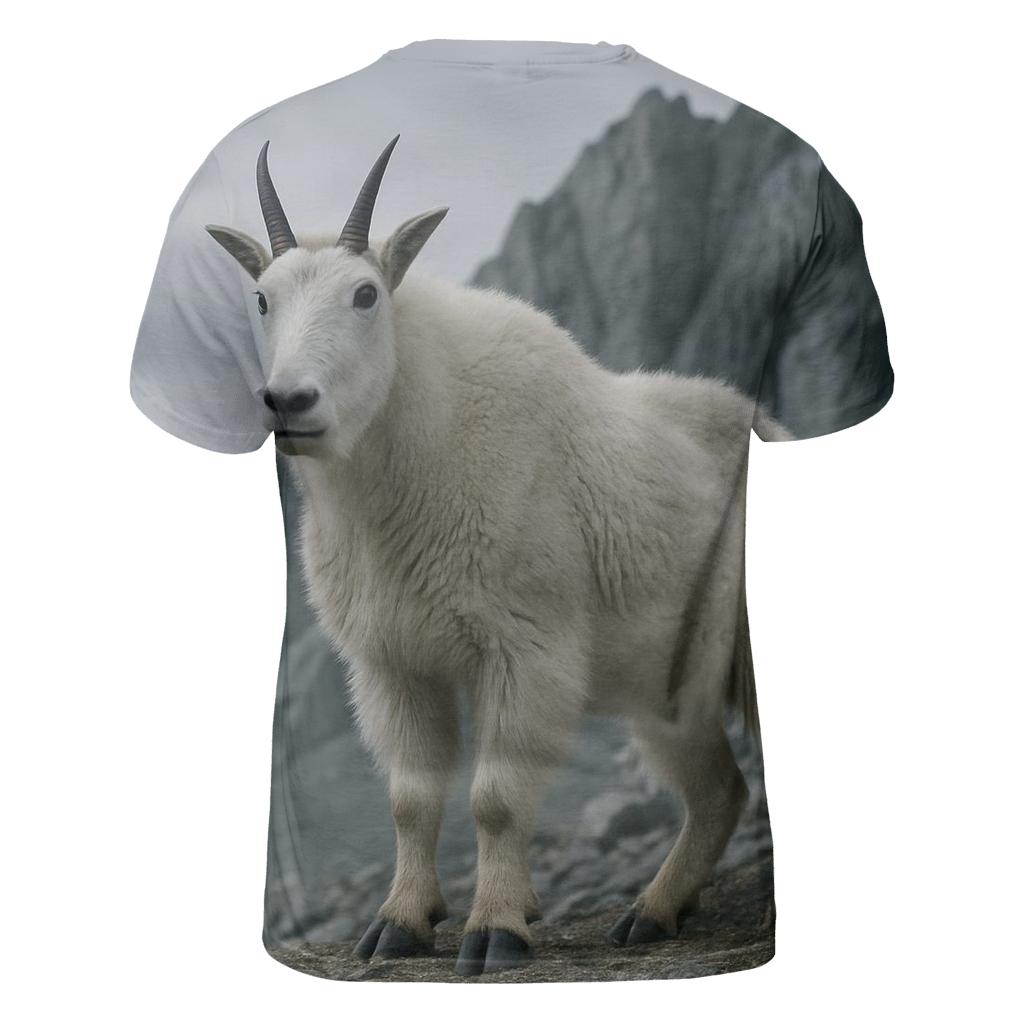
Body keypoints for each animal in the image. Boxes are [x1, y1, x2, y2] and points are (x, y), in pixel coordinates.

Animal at [208, 135, 788, 976]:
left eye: (365, 295)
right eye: (261, 298)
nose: (291, 402)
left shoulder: (523, 644)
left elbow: (496, 797)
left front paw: (496, 933)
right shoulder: (394, 661)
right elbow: (411, 798)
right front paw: (400, 925)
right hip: (669, 689)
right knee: (718, 789)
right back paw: (651, 913)